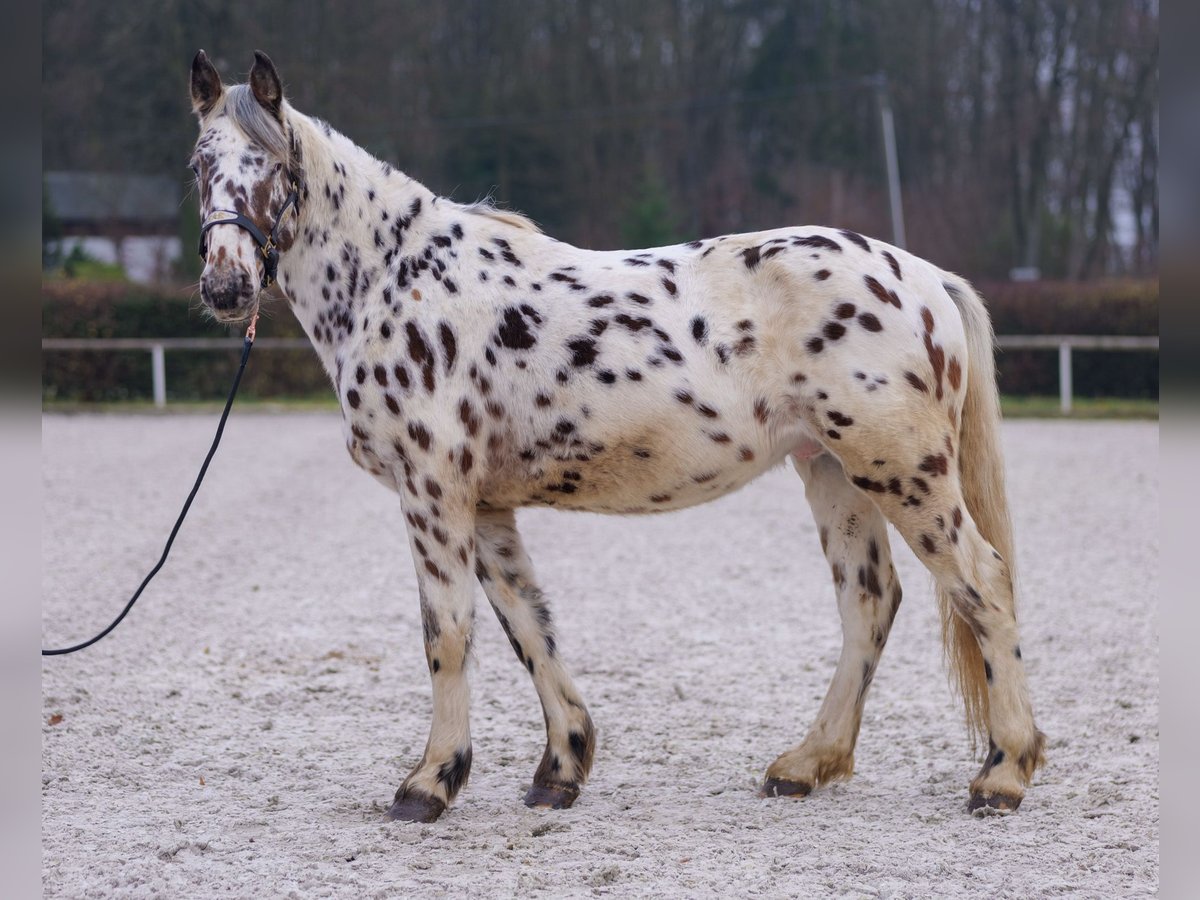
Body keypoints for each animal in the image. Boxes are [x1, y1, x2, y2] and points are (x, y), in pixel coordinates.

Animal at [184, 49, 1041, 825]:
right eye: (199, 165)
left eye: (270, 163)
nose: (226, 287)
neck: (396, 281)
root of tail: (926, 277)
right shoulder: (484, 507)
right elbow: (528, 624)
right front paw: (561, 769)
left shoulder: (433, 492)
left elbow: (448, 634)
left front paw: (430, 783)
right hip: (832, 470)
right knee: (869, 602)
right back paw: (806, 764)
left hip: (900, 470)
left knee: (983, 584)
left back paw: (1002, 774)